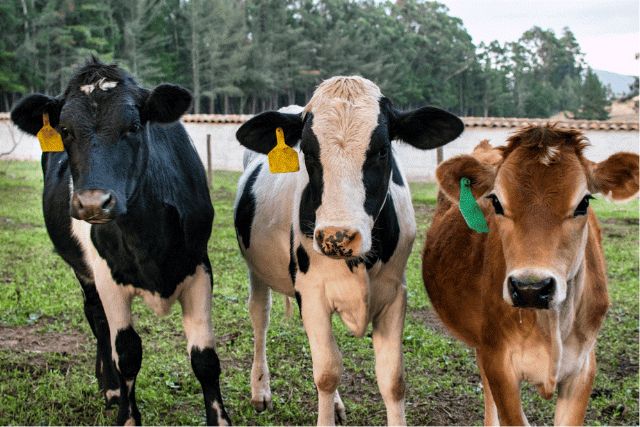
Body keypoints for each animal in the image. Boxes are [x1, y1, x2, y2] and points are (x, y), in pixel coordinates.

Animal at [11, 58, 230, 426]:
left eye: (133, 126)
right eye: (65, 130)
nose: (92, 203)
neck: (147, 237)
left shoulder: (199, 265)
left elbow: (205, 358)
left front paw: (220, 418)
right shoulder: (107, 276)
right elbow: (126, 352)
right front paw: (127, 415)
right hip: (83, 270)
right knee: (96, 318)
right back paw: (111, 388)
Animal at [232, 76, 462, 424]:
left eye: (382, 150)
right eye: (308, 152)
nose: (337, 237)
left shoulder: (395, 294)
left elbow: (393, 380)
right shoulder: (312, 292)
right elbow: (327, 373)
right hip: (256, 270)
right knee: (260, 315)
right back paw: (260, 390)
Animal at [422, 125, 636, 426]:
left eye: (584, 202)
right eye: (496, 201)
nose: (530, 288)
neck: (552, 325)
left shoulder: (583, 366)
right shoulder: (499, 361)